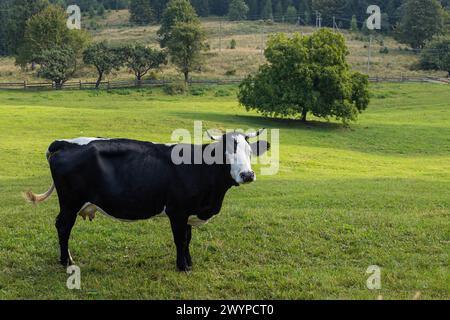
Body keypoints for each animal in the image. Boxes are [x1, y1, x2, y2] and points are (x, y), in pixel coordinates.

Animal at [24, 129, 268, 270]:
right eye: (225, 153)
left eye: (249, 152)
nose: (248, 175)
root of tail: (64, 142)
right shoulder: (177, 211)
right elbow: (180, 240)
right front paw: (182, 266)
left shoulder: (187, 212)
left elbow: (188, 239)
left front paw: (189, 262)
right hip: (70, 202)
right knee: (63, 226)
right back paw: (66, 261)